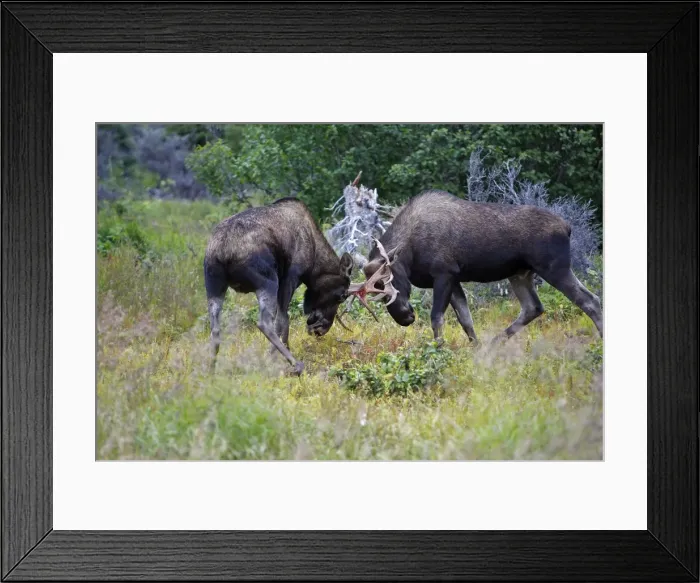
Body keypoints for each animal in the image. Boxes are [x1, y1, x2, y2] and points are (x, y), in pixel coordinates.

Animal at [203, 196, 381, 375]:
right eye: (342, 295)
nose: (321, 329)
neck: (314, 262)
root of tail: (223, 251)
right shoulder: (290, 278)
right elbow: (283, 320)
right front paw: (275, 358)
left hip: (214, 284)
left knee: (215, 329)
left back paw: (210, 370)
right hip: (267, 281)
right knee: (264, 323)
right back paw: (295, 364)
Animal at [348, 189, 603, 345]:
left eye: (389, 282)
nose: (405, 317)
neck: (409, 254)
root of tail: (567, 227)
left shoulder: (444, 273)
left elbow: (437, 318)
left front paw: (439, 350)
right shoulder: (453, 278)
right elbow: (466, 320)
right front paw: (475, 349)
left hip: (554, 268)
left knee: (590, 300)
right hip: (520, 274)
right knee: (534, 307)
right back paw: (494, 344)